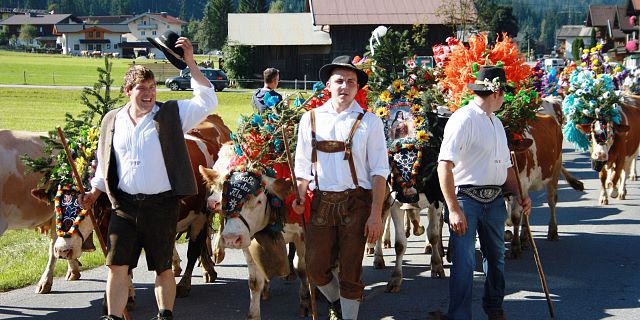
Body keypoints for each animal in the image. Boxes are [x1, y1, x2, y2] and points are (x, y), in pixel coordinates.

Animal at [199, 143, 312, 320]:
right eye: (222, 192)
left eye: (258, 201)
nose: (230, 238)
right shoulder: (247, 239)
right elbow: (254, 282)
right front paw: (254, 313)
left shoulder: (302, 234)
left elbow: (302, 268)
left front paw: (305, 303)